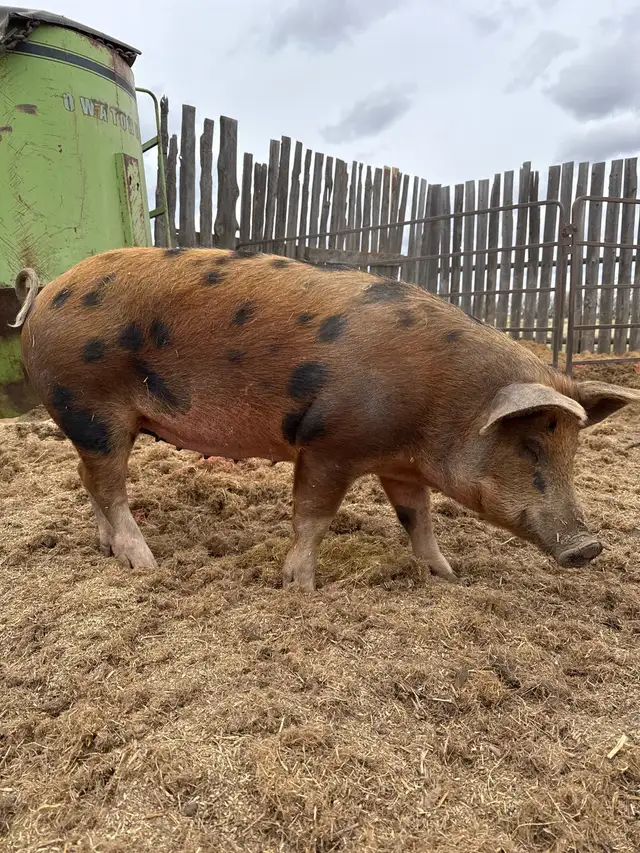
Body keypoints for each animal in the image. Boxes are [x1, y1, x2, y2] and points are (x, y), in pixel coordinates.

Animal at [11, 248, 640, 590]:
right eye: (530, 445)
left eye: (572, 453)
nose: (588, 546)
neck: (442, 401)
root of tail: (48, 292)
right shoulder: (328, 443)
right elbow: (313, 516)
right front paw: (301, 586)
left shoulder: (401, 466)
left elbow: (418, 520)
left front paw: (448, 576)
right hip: (91, 406)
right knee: (108, 485)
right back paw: (145, 564)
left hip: (90, 421)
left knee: (89, 479)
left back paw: (109, 551)